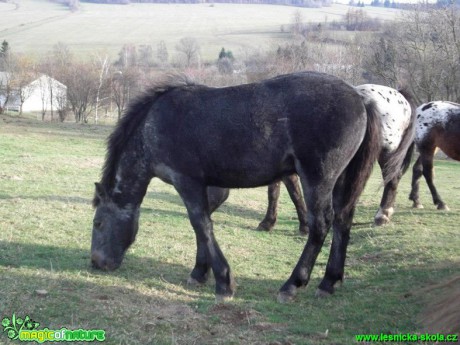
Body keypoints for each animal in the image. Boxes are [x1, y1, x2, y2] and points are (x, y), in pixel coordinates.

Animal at [258, 83, 416, 232]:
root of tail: (399, 95)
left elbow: (293, 194)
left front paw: (303, 226)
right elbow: (274, 192)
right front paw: (268, 222)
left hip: (387, 152)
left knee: (392, 179)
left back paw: (382, 215)